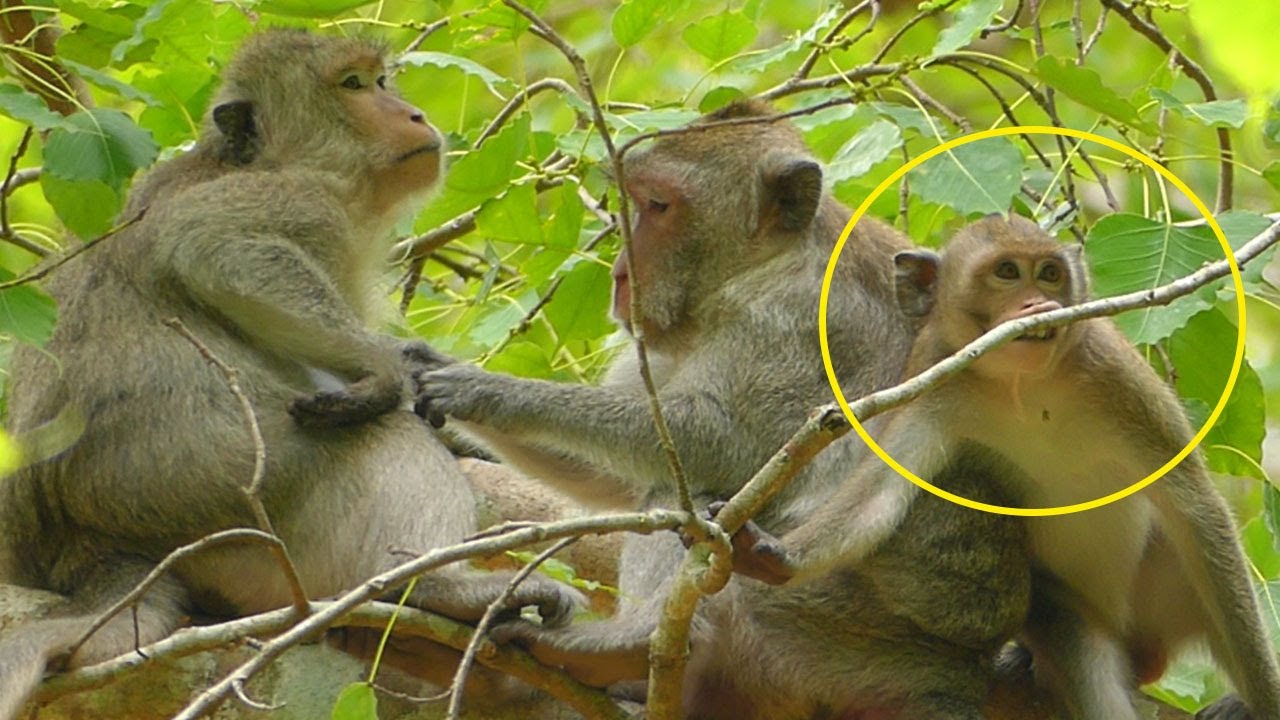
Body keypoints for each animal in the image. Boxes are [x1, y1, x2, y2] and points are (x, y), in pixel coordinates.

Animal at [0, 30, 578, 719]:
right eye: (353, 86)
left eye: (382, 81)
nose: (413, 114)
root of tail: (82, 544)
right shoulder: (301, 200)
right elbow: (216, 245)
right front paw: (386, 373)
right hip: (210, 483)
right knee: (381, 437)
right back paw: (435, 589)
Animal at [415, 100, 1034, 718]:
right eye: (636, 201)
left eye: (658, 206)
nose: (621, 270)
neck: (764, 264)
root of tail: (961, 663)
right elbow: (612, 480)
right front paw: (430, 376)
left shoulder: (794, 321)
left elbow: (719, 446)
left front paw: (489, 391)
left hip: (827, 614)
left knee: (695, 502)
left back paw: (627, 644)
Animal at [729, 214, 1280, 720]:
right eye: (1008, 272)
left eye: (1050, 274)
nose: (1038, 304)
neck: (1022, 386)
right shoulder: (934, 379)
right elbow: (879, 497)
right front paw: (776, 556)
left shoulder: (1114, 371)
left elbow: (1195, 509)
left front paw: (1265, 699)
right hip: (1075, 613)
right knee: (1078, 645)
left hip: (1172, 589)